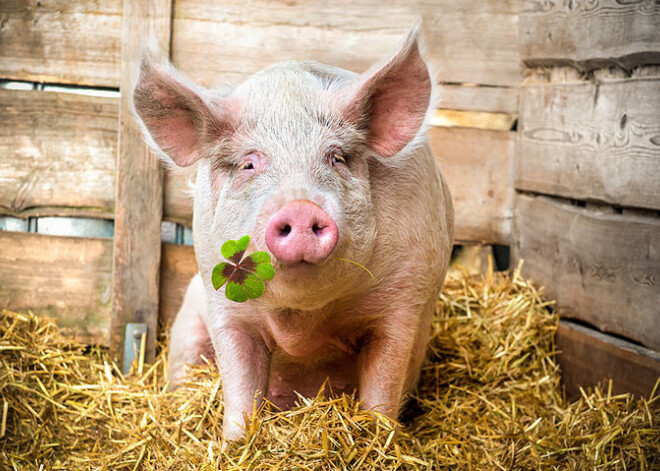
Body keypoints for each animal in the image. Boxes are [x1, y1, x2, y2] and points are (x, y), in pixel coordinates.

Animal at [134, 25, 454, 442]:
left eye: (336, 157)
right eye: (249, 164)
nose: (301, 206)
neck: (303, 320)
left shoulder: (405, 299)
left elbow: (383, 383)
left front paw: (377, 438)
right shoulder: (223, 304)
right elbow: (239, 383)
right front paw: (235, 442)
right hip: (188, 318)